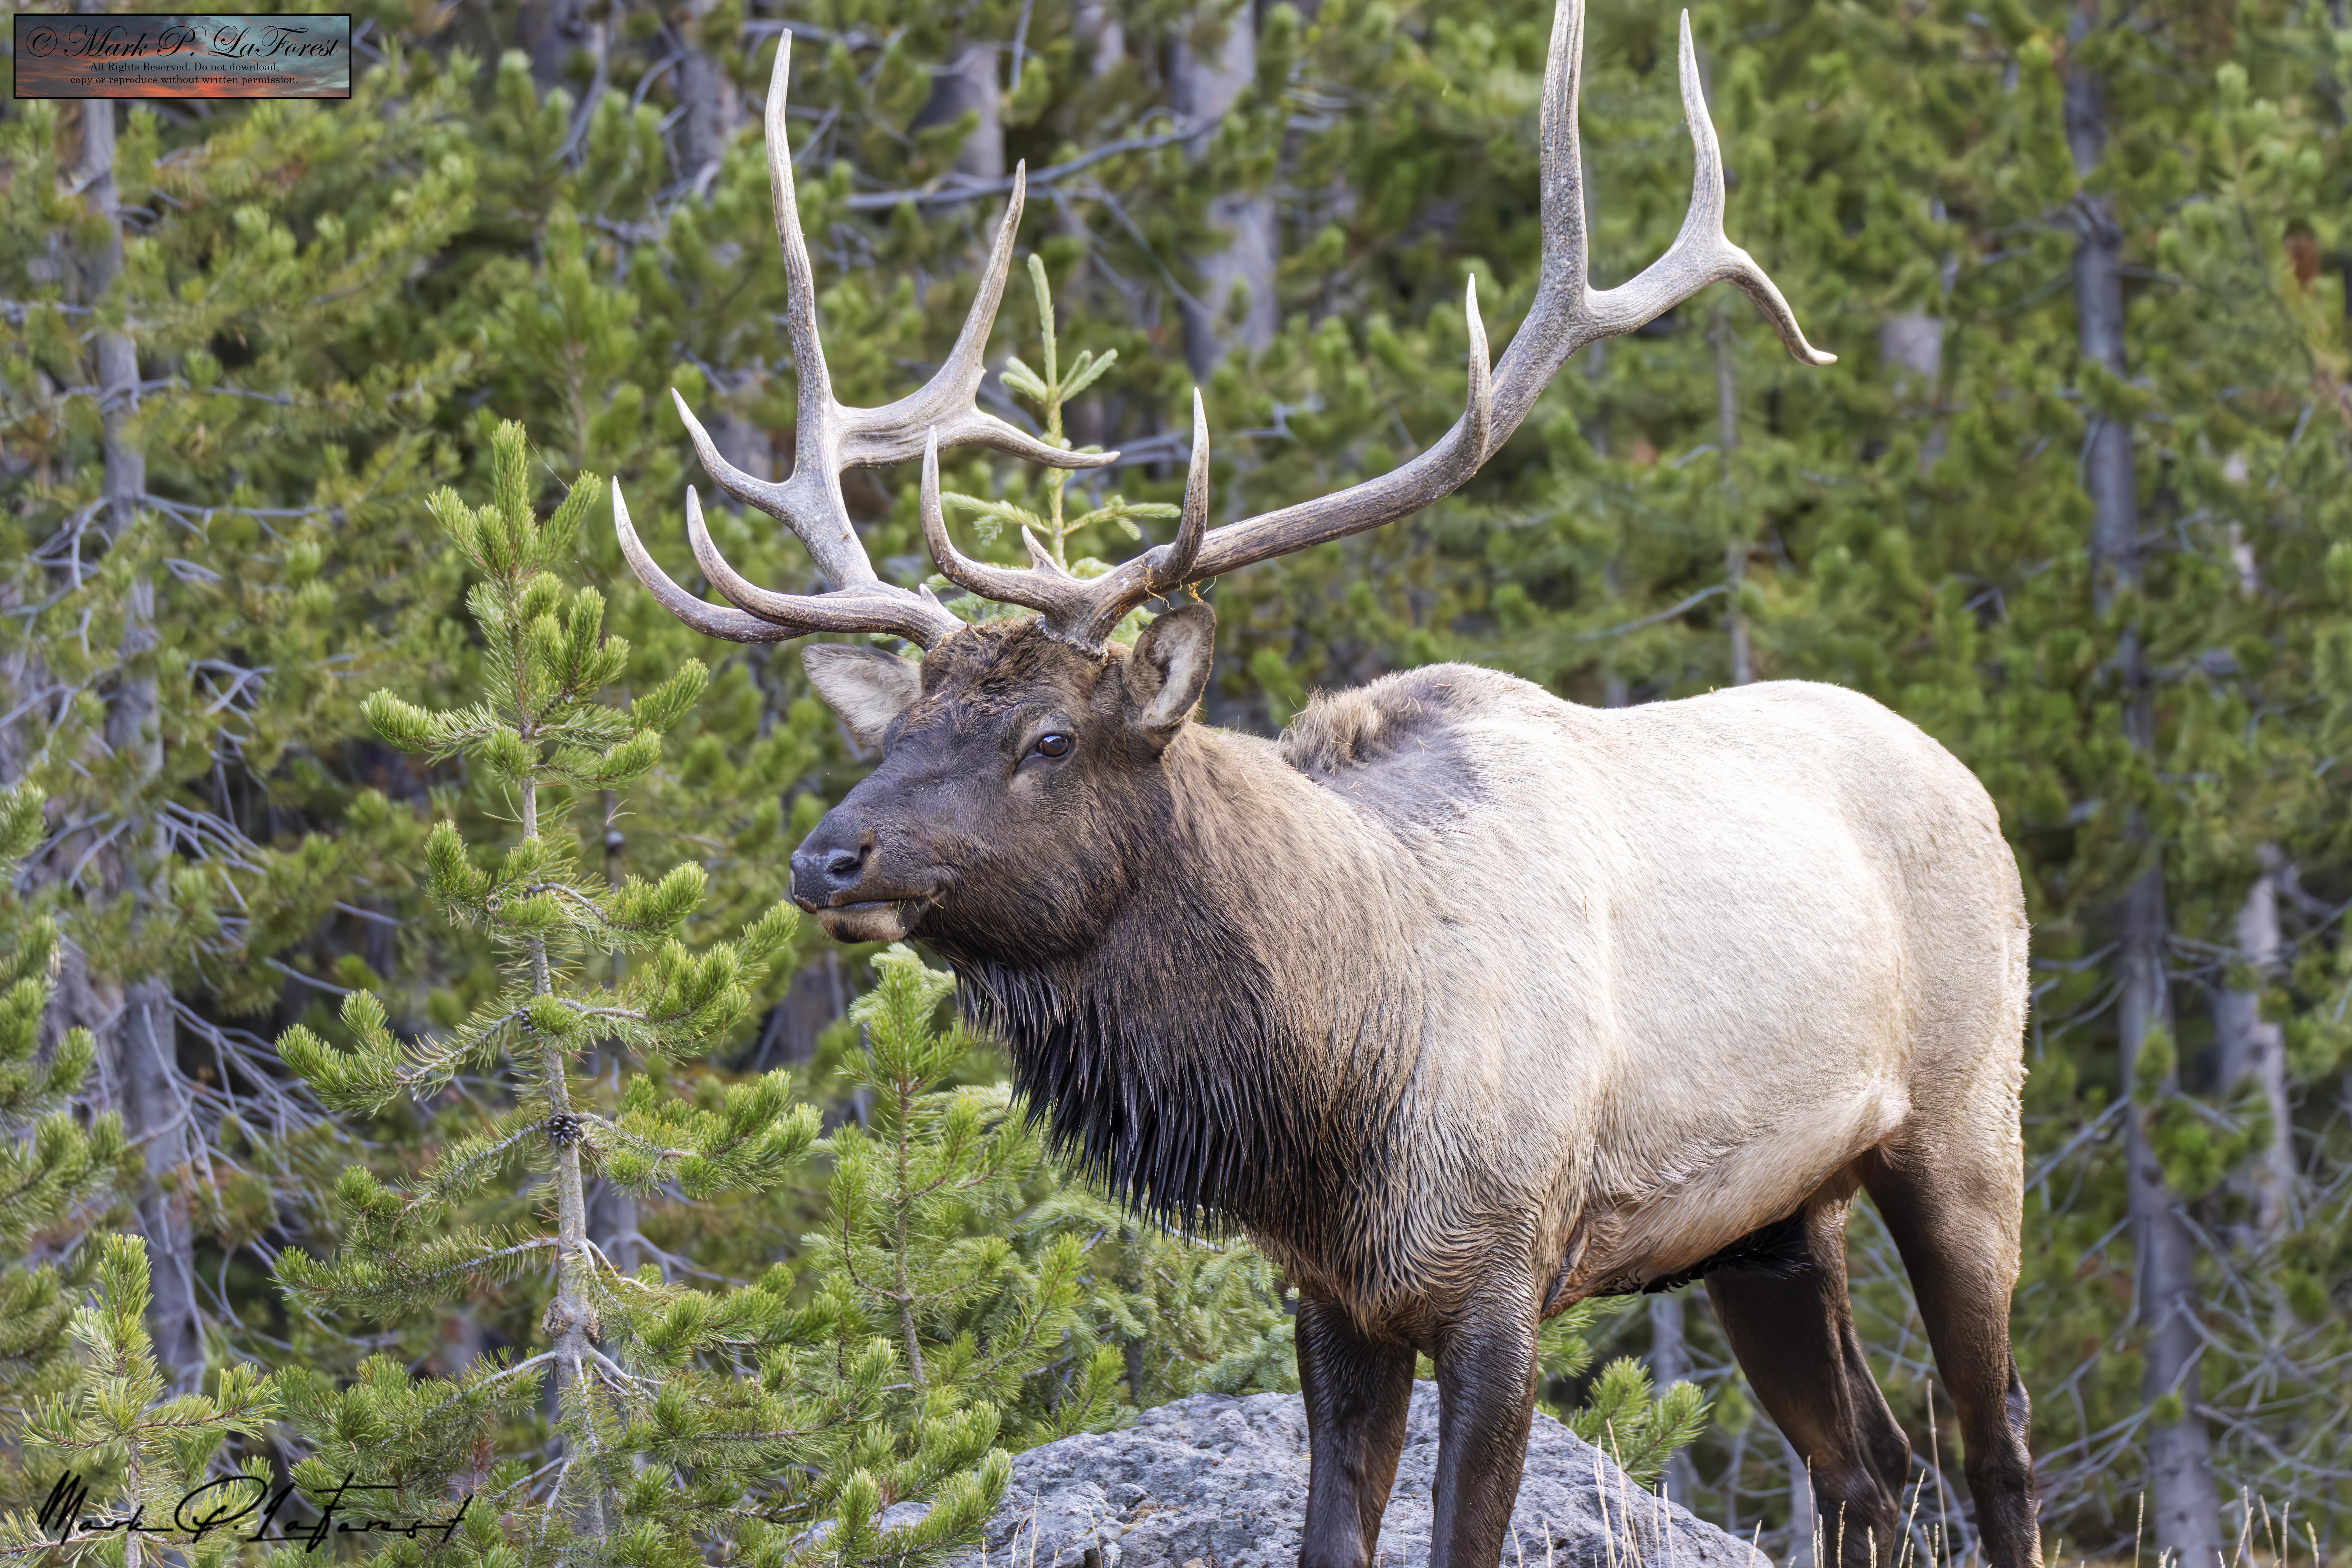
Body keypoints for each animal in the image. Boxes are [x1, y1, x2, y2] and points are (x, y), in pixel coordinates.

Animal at [609, 6, 2040, 1567]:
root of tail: (1967, 778)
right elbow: (1327, 1532)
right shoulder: (1331, 1296)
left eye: (1047, 739)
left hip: (1966, 1121)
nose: (830, 858)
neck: (1331, 1094)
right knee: (1869, 1469)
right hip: (1768, 1221)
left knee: (1994, 1448)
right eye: (894, 732)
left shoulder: (1503, 1273)